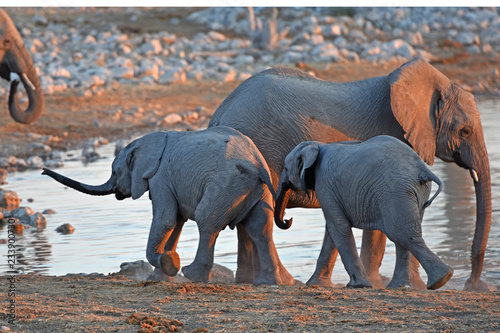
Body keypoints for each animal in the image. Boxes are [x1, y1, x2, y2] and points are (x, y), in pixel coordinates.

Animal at [44, 126, 292, 284]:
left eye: (114, 172)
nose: (44, 171)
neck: (147, 141)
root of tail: (258, 164)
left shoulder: (160, 177)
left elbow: (165, 220)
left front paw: (169, 263)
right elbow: (176, 224)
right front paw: (161, 273)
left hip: (226, 185)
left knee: (207, 222)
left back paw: (193, 275)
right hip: (255, 191)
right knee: (260, 229)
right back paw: (273, 282)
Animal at [274, 134, 454, 288]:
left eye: (285, 168)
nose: (288, 219)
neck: (318, 146)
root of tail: (422, 168)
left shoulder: (324, 184)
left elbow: (338, 227)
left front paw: (358, 285)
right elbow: (333, 230)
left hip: (394, 192)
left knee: (402, 234)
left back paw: (440, 280)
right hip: (415, 193)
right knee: (405, 234)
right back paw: (403, 286)